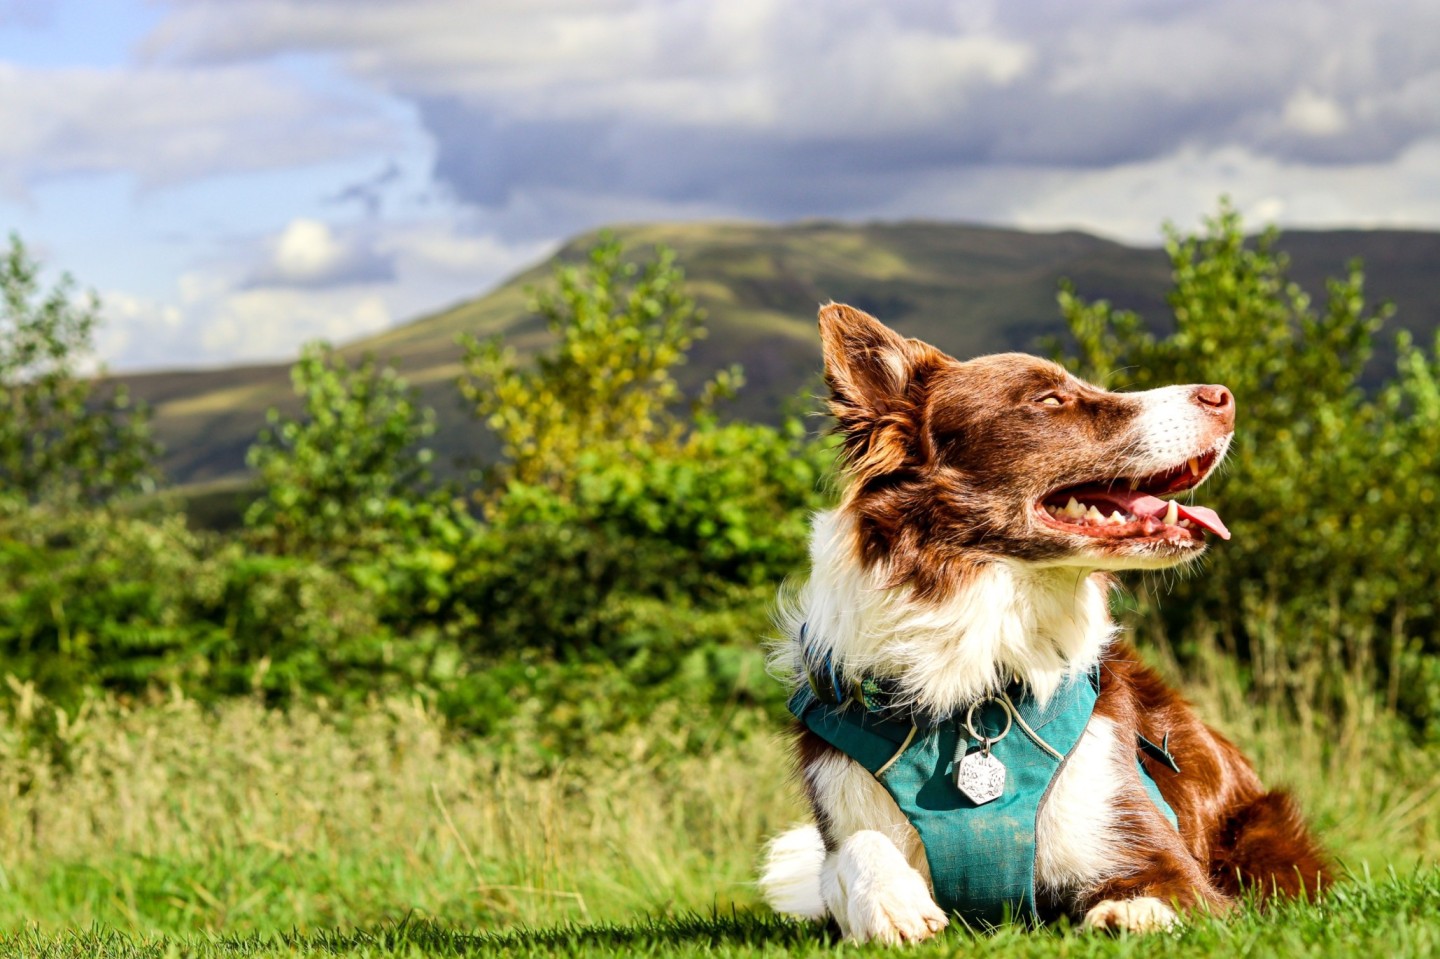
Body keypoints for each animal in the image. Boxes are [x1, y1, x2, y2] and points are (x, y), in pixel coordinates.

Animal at [760, 303, 1330, 938]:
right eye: (1051, 399)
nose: (1223, 396)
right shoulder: (843, 798)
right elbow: (852, 851)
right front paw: (891, 900)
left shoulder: (1153, 846)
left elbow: (1165, 890)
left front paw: (1131, 912)